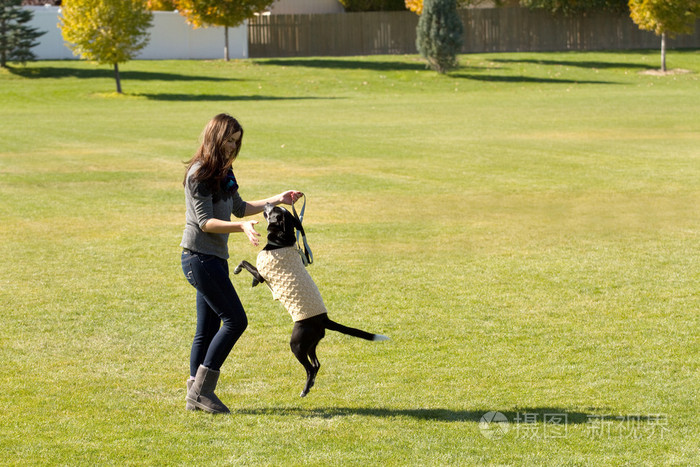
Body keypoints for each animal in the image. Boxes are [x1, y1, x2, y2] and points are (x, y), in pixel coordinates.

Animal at [235, 203, 388, 396]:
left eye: (274, 210)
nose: (267, 203)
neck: (281, 242)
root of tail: (323, 319)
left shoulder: (261, 272)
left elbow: (245, 262)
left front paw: (238, 270)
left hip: (297, 343)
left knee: (310, 367)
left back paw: (305, 389)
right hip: (310, 343)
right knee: (316, 364)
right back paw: (310, 384)